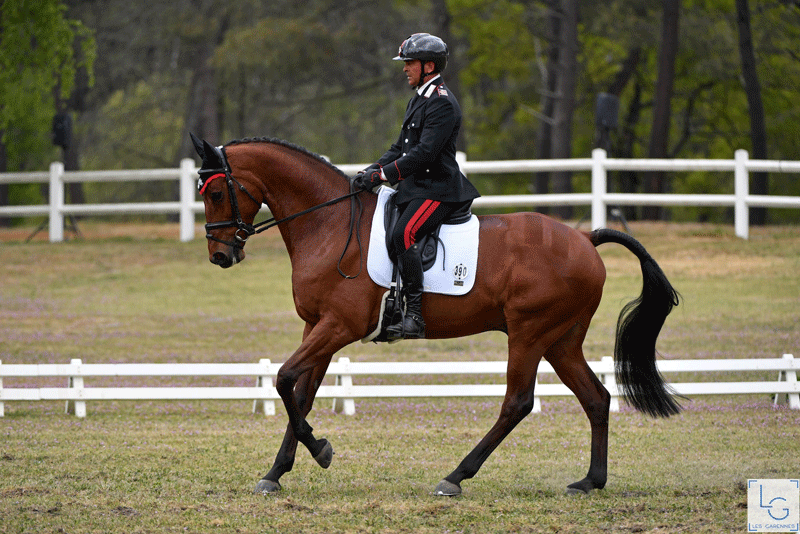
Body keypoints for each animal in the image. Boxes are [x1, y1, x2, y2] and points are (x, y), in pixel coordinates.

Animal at [191, 135, 680, 498]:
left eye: (215, 192)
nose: (220, 255)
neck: (328, 225)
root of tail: (585, 239)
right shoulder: (317, 326)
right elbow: (301, 393)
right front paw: (277, 472)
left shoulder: (338, 327)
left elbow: (283, 379)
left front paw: (321, 451)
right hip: (561, 340)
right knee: (596, 398)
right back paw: (590, 481)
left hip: (529, 334)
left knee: (517, 402)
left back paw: (455, 477)